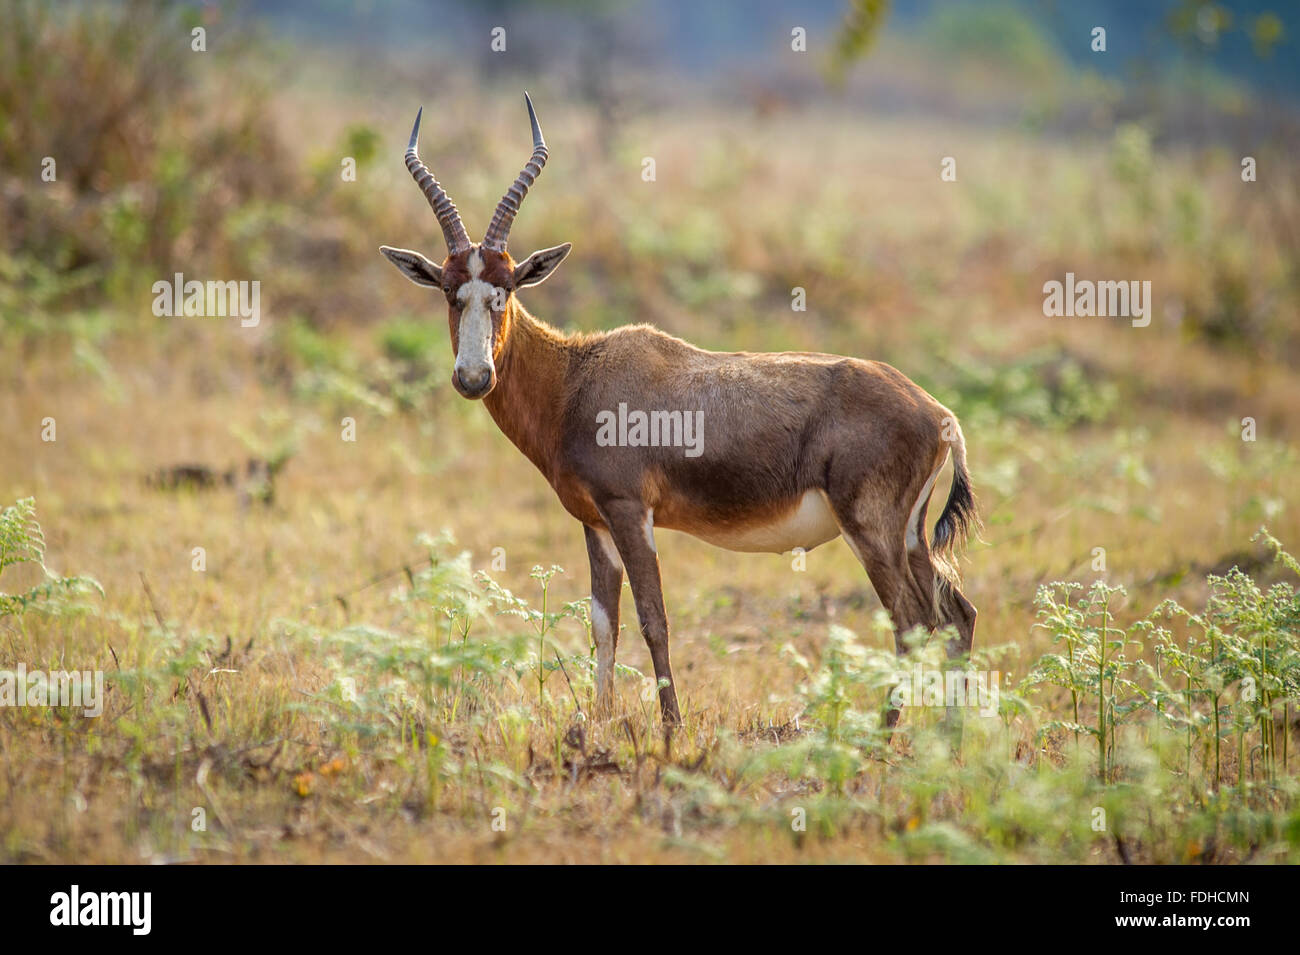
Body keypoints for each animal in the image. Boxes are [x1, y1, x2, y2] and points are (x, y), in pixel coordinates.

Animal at [379, 95, 977, 722]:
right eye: (451, 291)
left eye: (506, 289)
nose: (474, 377)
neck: (577, 375)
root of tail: (939, 415)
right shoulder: (595, 522)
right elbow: (604, 625)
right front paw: (601, 722)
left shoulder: (630, 513)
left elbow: (653, 619)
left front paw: (671, 728)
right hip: (909, 536)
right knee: (956, 617)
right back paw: (949, 738)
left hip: (870, 529)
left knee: (912, 622)